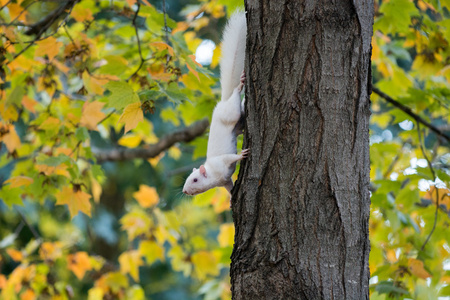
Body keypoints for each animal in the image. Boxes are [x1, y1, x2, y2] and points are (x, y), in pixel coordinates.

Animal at [181, 11, 248, 196]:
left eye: (195, 180)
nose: (185, 191)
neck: (213, 175)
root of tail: (222, 104)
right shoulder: (224, 181)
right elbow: (229, 186)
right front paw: (232, 197)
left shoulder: (221, 162)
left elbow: (230, 157)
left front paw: (242, 155)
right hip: (235, 120)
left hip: (230, 112)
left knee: (236, 97)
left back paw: (239, 86)